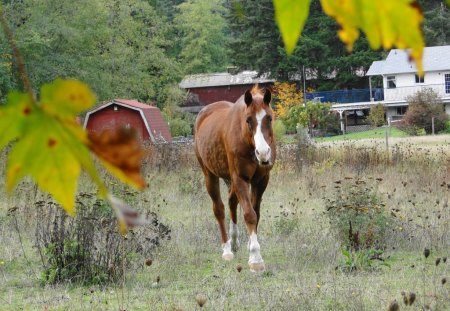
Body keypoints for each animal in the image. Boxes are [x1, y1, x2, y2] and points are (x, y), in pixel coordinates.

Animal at [193, 86, 274, 272]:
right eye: (248, 120)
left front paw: (250, 244)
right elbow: (249, 214)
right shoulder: (240, 179)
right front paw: (256, 259)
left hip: (229, 179)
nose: (263, 153)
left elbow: (256, 213)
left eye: (269, 118)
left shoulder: (261, 180)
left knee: (231, 203)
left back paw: (235, 241)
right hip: (210, 176)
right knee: (219, 209)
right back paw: (227, 249)